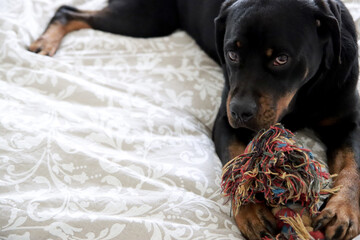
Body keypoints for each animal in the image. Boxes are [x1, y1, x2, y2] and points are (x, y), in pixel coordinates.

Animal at [29, 0, 358, 239]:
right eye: (231, 53)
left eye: (281, 59)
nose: (240, 111)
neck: (302, 94)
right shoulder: (225, 123)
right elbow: (237, 165)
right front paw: (252, 210)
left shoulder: (348, 121)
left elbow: (351, 166)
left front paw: (341, 212)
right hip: (147, 21)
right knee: (68, 11)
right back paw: (45, 42)